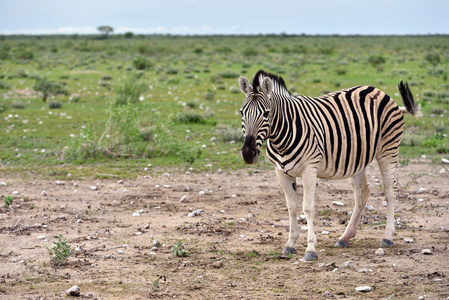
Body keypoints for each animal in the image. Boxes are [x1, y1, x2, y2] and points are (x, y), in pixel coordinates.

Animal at [240, 69, 418, 260]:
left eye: (266, 114)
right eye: (242, 113)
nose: (248, 154)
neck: (282, 137)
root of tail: (379, 91)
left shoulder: (309, 169)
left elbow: (308, 208)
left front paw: (311, 249)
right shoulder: (281, 173)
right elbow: (292, 208)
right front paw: (290, 244)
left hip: (388, 150)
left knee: (390, 192)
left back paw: (387, 237)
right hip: (358, 158)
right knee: (362, 194)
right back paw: (345, 237)